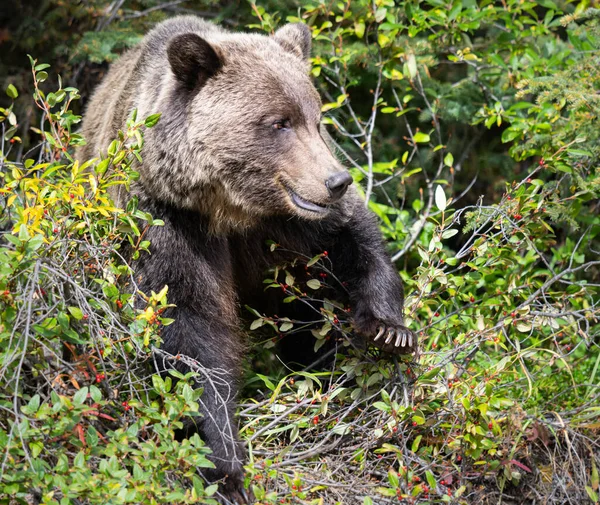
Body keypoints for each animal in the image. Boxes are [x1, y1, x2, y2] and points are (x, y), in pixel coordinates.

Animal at [79, 15, 414, 504]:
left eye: (317, 119)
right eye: (279, 122)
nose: (336, 181)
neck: (233, 209)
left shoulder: (291, 222)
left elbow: (353, 244)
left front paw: (390, 329)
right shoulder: (168, 220)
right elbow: (187, 331)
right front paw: (225, 467)